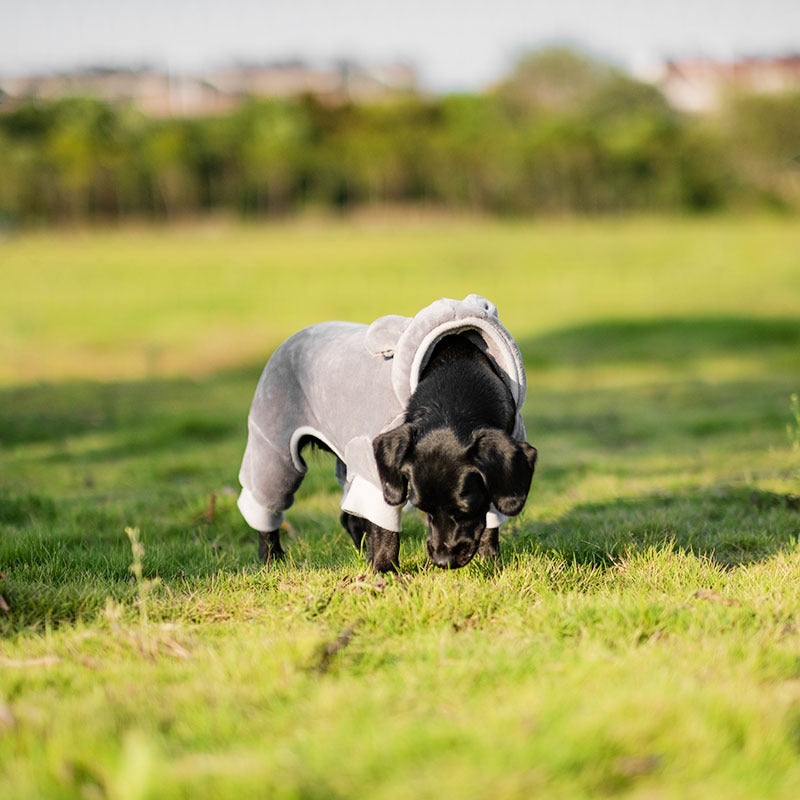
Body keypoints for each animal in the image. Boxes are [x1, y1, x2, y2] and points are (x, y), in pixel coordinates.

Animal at [260, 334, 536, 572]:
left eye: (464, 510)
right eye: (423, 508)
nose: (442, 562)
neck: (457, 384)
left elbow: (491, 520)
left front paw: (491, 563)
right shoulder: (382, 478)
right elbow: (385, 530)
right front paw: (385, 570)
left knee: (351, 519)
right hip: (276, 452)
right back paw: (271, 558)